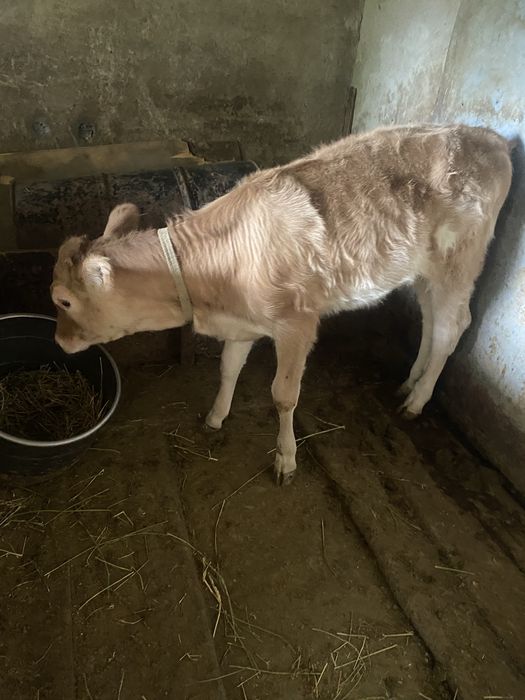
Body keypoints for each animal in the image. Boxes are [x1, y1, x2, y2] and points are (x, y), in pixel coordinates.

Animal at [51, 124, 514, 484]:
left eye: (63, 301)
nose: (58, 341)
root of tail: (487, 136)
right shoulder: (242, 323)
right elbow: (228, 368)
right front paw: (215, 417)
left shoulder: (297, 324)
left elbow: (283, 395)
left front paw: (286, 458)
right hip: (423, 270)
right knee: (432, 320)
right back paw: (410, 383)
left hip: (460, 262)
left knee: (453, 327)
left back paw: (417, 402)